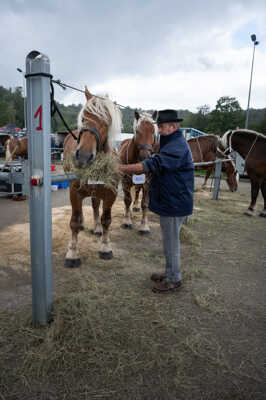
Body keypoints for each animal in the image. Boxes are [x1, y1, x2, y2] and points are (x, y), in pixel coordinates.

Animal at [63, 87, 121, 266]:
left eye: (106, 122)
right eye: (83, 117)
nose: (83, 157)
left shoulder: (111, 194)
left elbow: (106, 219)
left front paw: (105, 246)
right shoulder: (74, 192)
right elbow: (74, 222)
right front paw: (72, 252)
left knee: (95, 206)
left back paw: (97, 228)